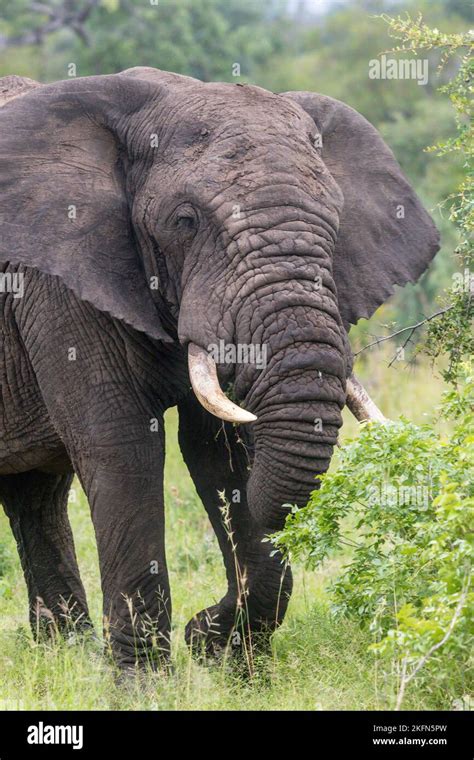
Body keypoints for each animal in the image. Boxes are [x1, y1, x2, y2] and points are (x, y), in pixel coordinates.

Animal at [0, 68, 438, 668]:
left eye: (335, 220)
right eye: (185, 222)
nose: (202, 621)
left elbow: (221, 451)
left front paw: (221, 651)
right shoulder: (58, 281)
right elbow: (122, 445)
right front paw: (148, 680)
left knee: (35, 495)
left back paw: (63, 659)